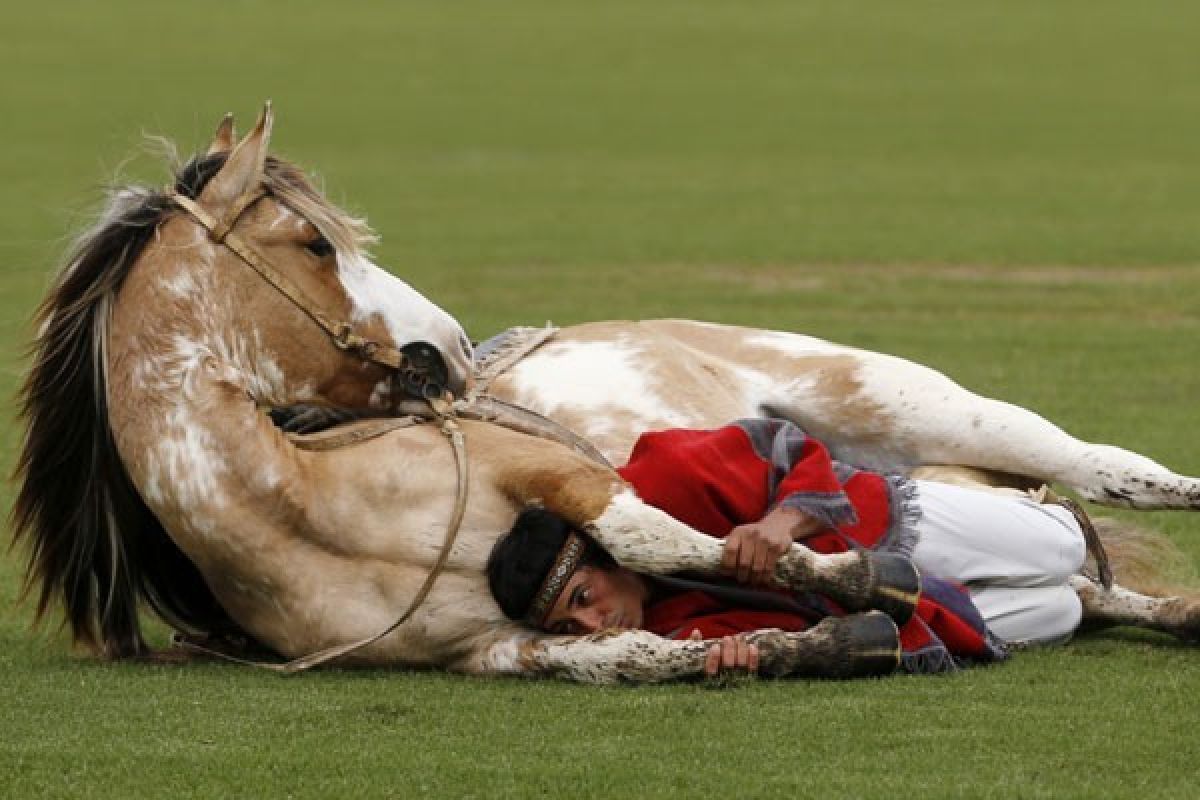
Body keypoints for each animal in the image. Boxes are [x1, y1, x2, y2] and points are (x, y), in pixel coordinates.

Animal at [11, 104, 1200, 681]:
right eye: (313, 243)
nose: (453, 345)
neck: (311, 510)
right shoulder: (505, 650)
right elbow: (635, 655)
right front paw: (819, 639)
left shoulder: (568, 480)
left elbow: (680, 541)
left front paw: (852, 577)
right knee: (1090, 580)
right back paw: (1169, 611)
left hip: (900, 400)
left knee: (1094, 467)